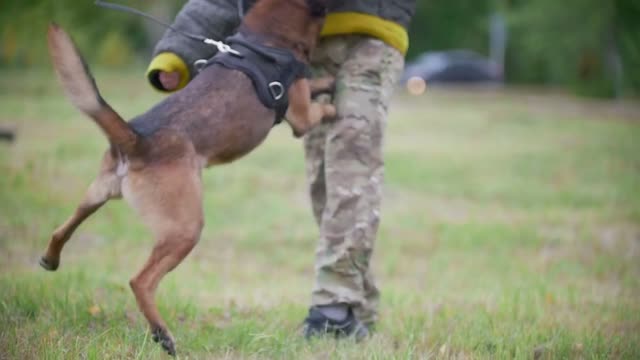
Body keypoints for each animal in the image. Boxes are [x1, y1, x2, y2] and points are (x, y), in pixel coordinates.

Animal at [40, 0, 336, 354]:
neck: (265, 36)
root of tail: (135, 140)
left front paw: (327, 83)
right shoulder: (301, 117)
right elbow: (318, 110)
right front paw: (332, 102)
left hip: (96, 195)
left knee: (61, 229)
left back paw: (50, 259)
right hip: (185, 229)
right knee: (140, 281)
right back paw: (162, 334)